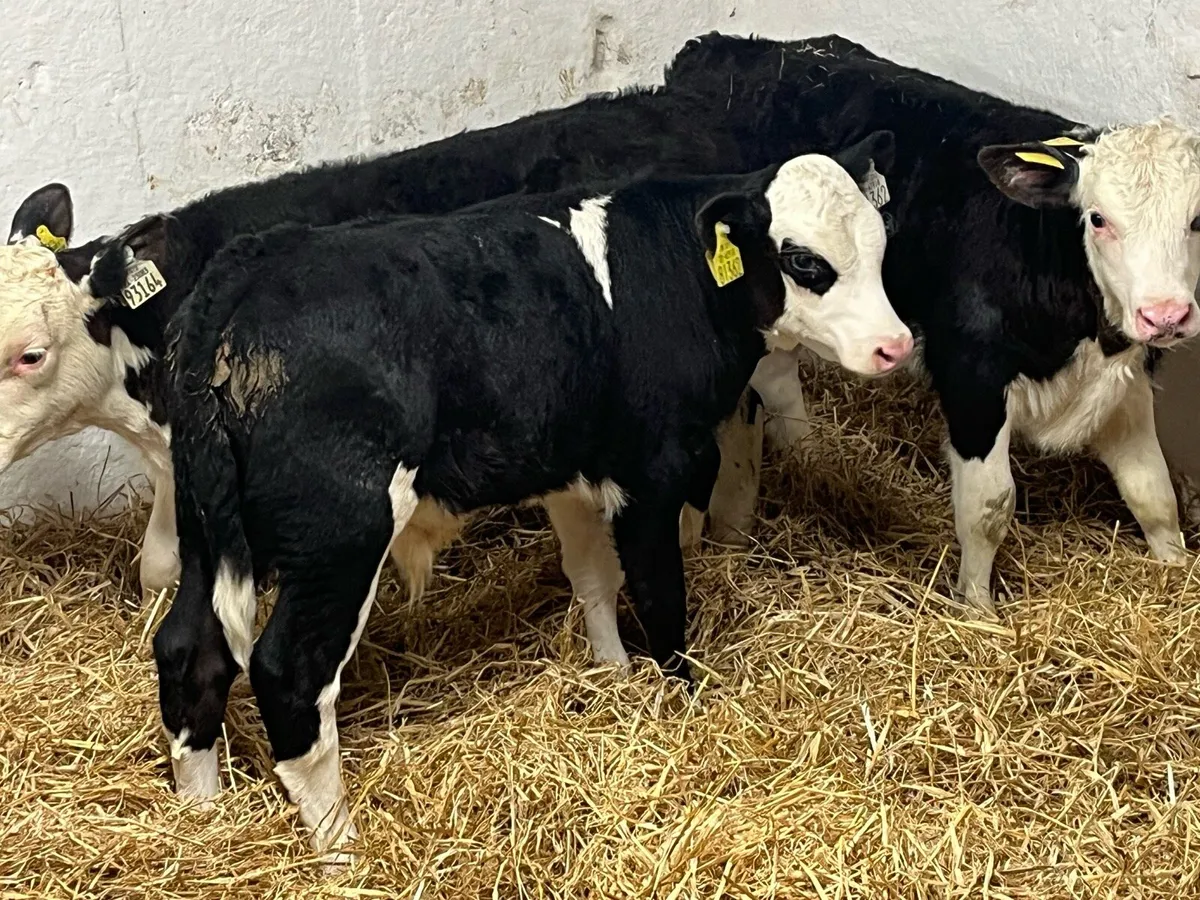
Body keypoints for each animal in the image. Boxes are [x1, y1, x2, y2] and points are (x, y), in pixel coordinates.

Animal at [152, 150, 906, 856]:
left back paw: (201, 813)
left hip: (212, 533)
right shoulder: (654, 474)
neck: (673, 269)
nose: (895, 346)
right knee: (289, 673)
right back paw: (341, 846)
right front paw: (686, 703)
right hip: (340, 533)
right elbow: (660, 597)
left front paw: (612, 672)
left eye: (881, 245)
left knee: (190, 648)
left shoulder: (573, 470)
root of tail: (250, 264)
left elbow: (593, 578)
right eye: (805, 261)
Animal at [663, 33, 1200, 618]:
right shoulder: (971, 375)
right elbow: (988, 506)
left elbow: (1153, 491)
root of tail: (722, 44)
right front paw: (978, 611)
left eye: (1197, 220)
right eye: (1098, 218)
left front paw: (1175, 572)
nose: (1165, 315)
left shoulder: (1123, 376)